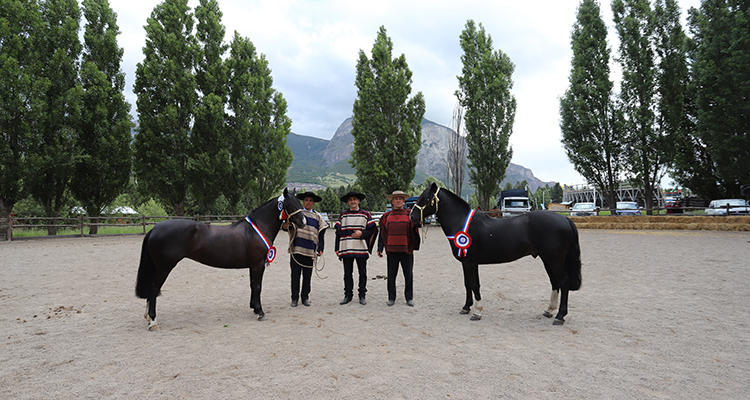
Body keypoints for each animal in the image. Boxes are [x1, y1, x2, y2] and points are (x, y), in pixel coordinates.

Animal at [135, 189, 306, 330]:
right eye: (290, 204)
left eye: (299, 203)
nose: (304, 222)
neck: (256, 228)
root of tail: (154, 228)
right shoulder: (258, 265)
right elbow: (258, 287)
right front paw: (260, 312)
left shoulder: (253, 266)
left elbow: (252, 286)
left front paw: (254, 307)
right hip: (164, 267)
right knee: (154, 288)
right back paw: (153, 321)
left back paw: (148, 318)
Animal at [412, 184, 580, 324]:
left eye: (425, 198)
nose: (412, 216)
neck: (462, 222)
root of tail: (564, 218)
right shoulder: (465, 262)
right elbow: (467, 284)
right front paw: (466, 307)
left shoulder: (471, 263)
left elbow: (474, 284)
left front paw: (477, 312)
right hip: (546, 259)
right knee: (555, 282)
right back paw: (549, 310)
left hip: (555, 260)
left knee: (563, 282)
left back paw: (560, 316)